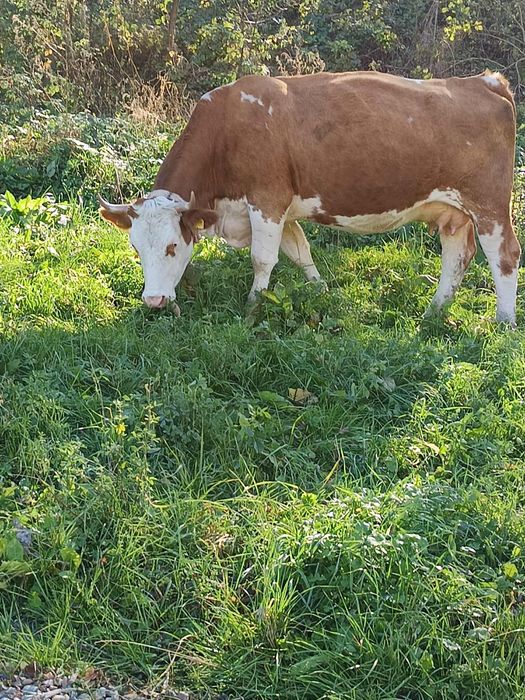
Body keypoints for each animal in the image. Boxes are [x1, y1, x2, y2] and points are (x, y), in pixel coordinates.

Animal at [99, 70, 520, 324]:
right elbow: (300, 252)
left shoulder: (267, 199)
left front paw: (253, 308)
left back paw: (504, 321)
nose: (153, 300)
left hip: (489, 205)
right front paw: (320, 292)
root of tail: (484, 81)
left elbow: (262, 259)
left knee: (504, 256)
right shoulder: (280, 210)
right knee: (457, 256)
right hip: (453, 212)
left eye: (172, 246)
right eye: (135, 248)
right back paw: (434, 311)